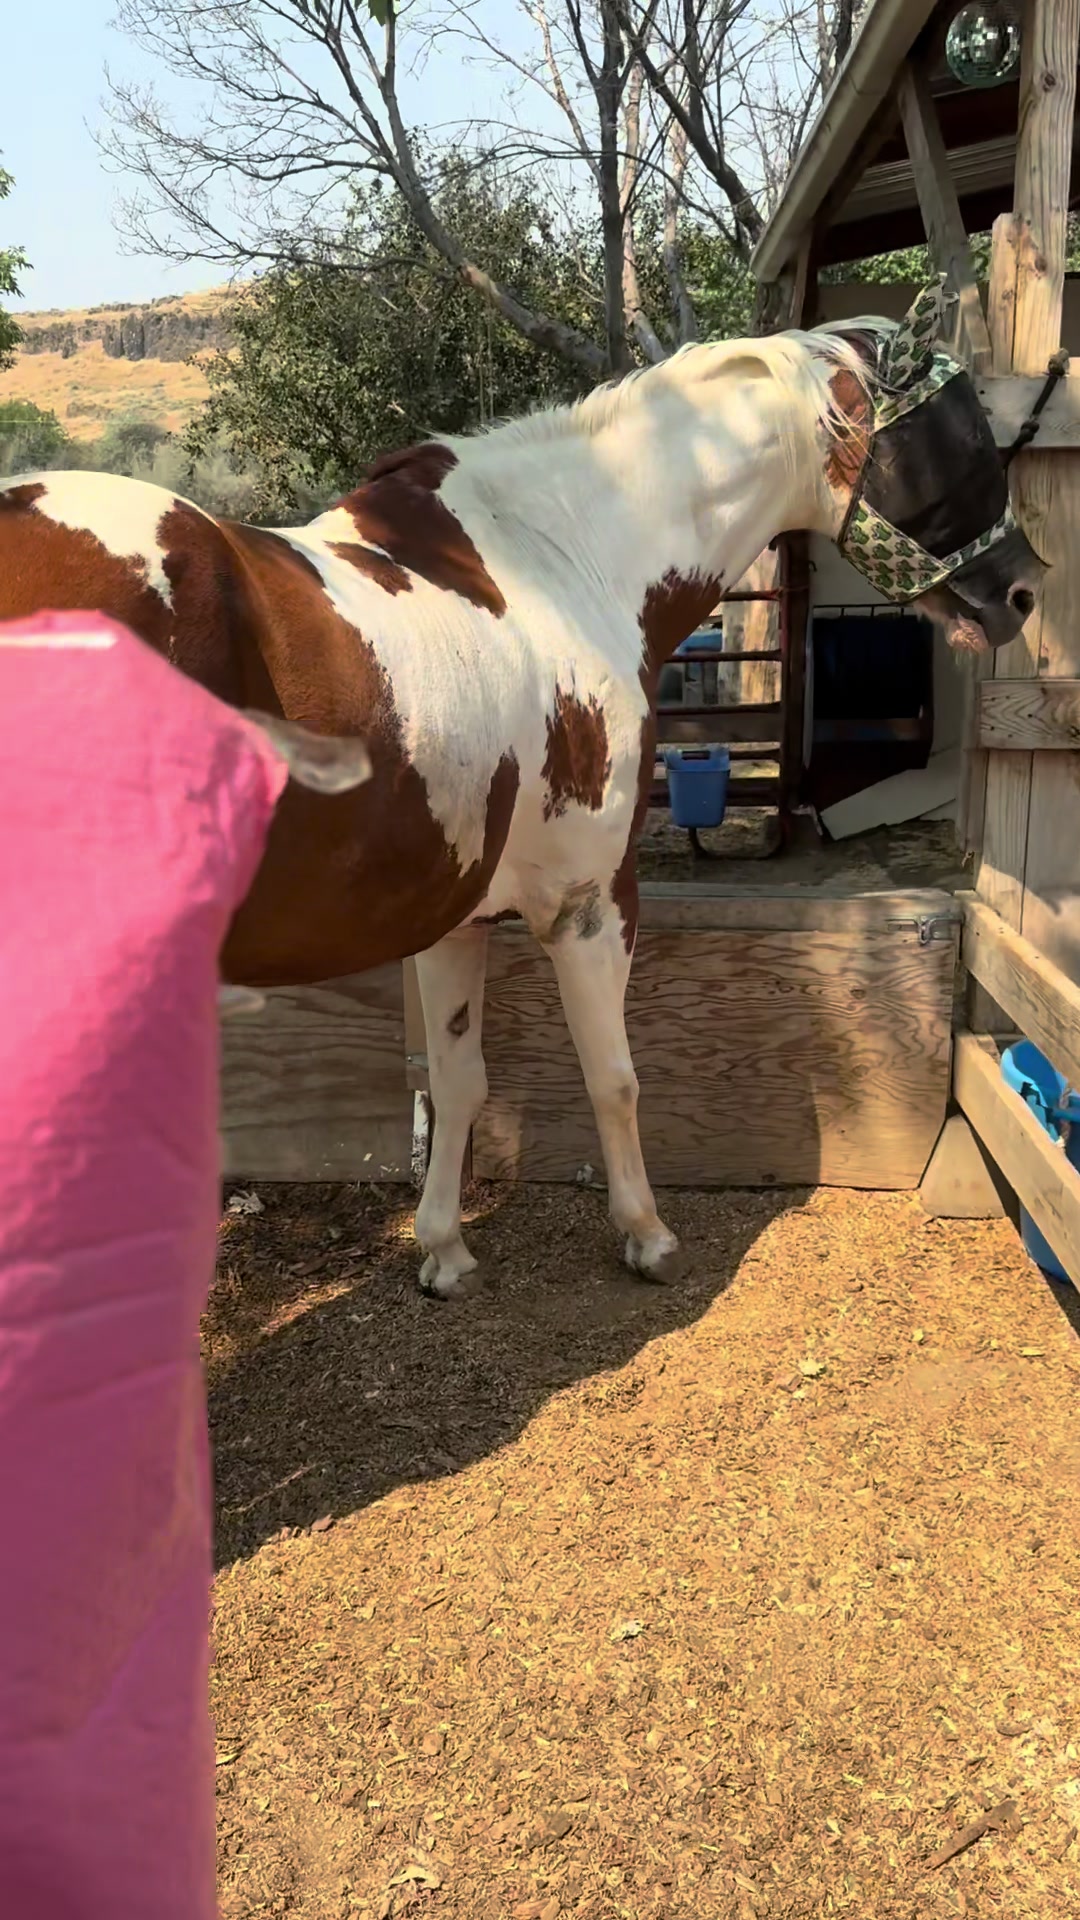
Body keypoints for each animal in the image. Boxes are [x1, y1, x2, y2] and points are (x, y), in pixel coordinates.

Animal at [0, 285, 1044, 1298]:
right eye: (963, 432)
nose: (1024, 592)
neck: (560, 563)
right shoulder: (591, 904)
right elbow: (613, 1075)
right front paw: (646, 1236)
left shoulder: (449, 916)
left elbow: (460, 1079)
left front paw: (445, 1253)